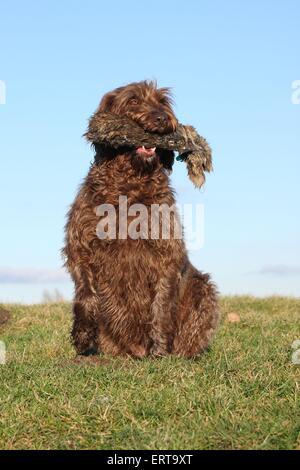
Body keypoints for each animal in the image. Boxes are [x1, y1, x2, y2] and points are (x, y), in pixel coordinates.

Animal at [63, 81, 218, 360]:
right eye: (133, 100)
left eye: (163, 102)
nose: (162, 118)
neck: (129, 184)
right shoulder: (80, 246)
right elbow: (85, 294)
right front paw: (83, 336)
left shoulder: (166, 253)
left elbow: (161, 304)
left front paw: (160, 348)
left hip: (203, 288)